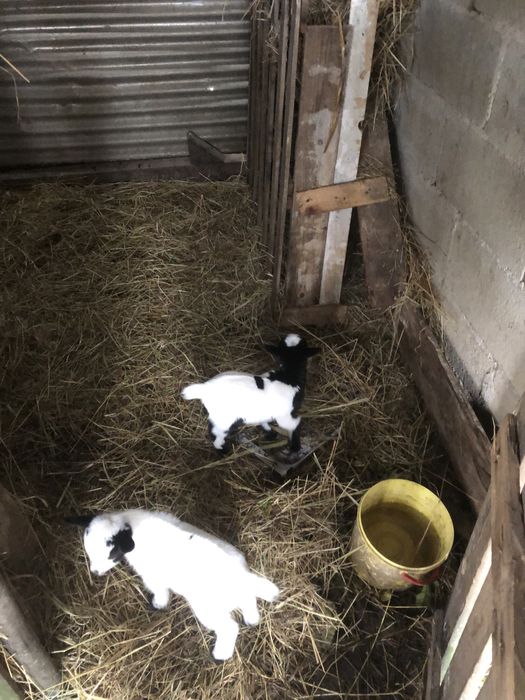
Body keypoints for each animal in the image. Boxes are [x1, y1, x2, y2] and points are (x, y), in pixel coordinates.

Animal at [66, 509, 279, 661]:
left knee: (229, 627)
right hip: (239, 593)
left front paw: (158, 605)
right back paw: (251, 620)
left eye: (111, 554)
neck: (131, 526)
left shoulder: (153, 577)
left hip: (207, 609)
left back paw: (219, 656)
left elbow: (160, 592)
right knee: (248, 600)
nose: (95, 572)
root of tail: (240, 577)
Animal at [181, 334, 319, 454]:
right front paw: (295, 447)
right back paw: (223, 451)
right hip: (223, 420)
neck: (288, 377)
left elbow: (264, 420)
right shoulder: (284, 415)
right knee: (216, 434)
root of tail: (205, 388)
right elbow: (295, 425)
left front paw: (270, 433)